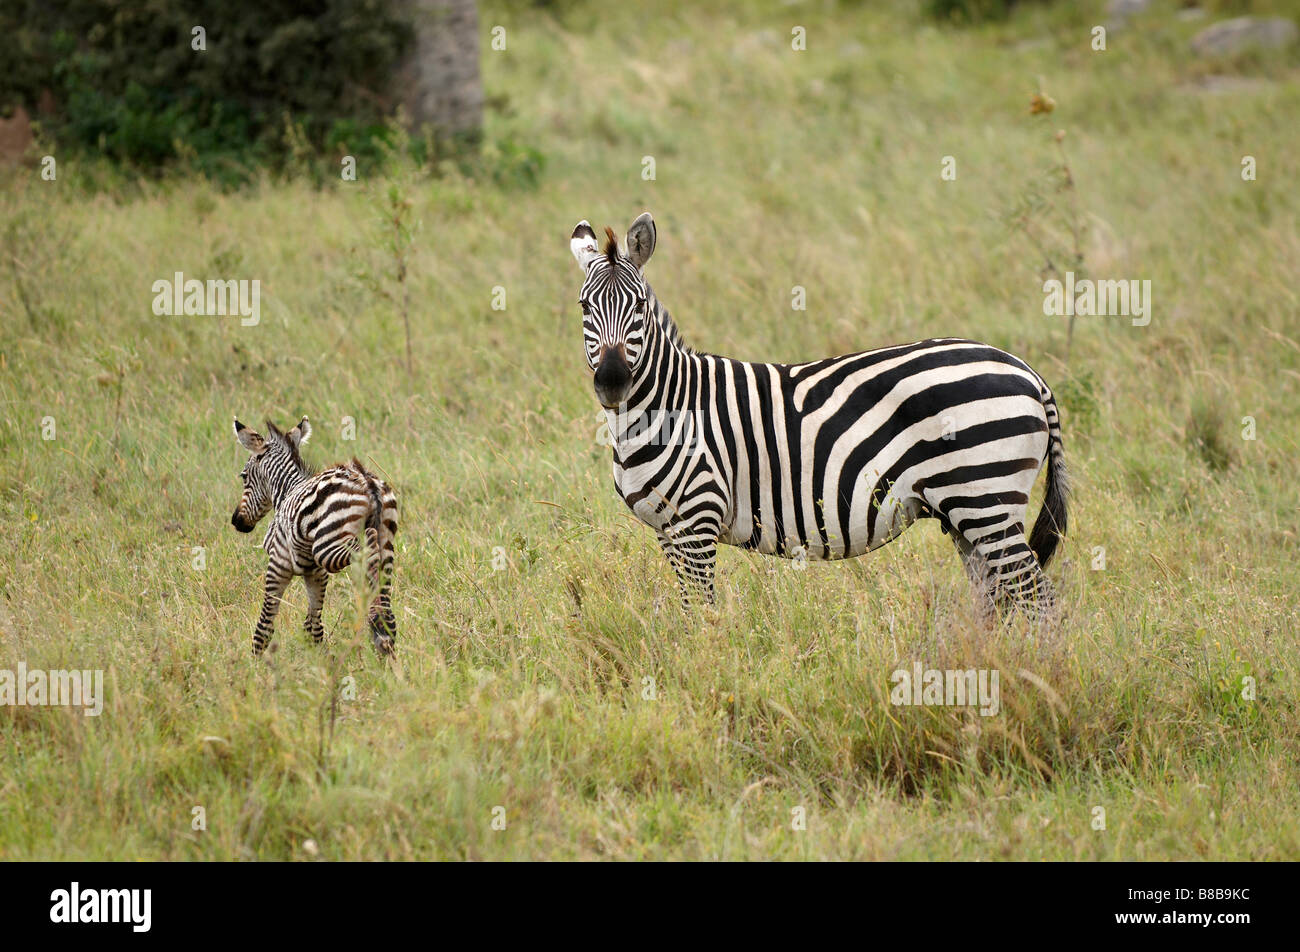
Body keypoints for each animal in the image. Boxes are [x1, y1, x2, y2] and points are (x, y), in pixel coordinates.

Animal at [230, 416, 398, 655]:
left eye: (244, 476)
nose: (237, 521)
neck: (286, 492)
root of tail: (368, 482)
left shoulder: (279, 563)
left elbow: (265, 622)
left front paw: (256, 661)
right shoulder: (315, 572)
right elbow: (313, 624)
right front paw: (316, 658)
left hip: (328, 547)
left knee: (368, 548)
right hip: (386, 542)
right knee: (387, 605)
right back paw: (383, 635)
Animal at [569, 212, 1069, 621]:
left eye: (639, 306)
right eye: (584, 307)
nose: (612, 382)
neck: (665, 407)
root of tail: (1027, 371)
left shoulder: (696, 522)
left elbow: (700, 615)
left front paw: (703, 667)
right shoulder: (668, 531)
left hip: (987, 498)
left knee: (1038, 599)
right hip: (966, 512)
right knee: (996, 597)